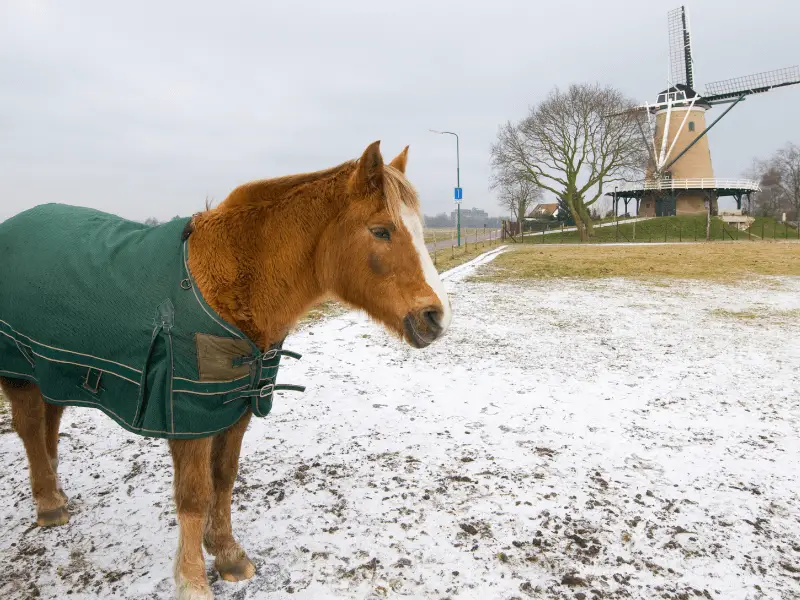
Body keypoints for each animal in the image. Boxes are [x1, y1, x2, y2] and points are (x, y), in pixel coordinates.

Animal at [0, 142, 450, 600]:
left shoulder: (234, 408)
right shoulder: (188, 416)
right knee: (30, 426)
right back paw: (49, 506)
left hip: (52, 371)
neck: (231, 283)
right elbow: (195, 495)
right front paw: (193, 580)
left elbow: (224, 478)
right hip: (19, 371)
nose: (435, 317)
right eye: (381, 231)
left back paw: (55, 492)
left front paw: (227, 553)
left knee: (49, 422)